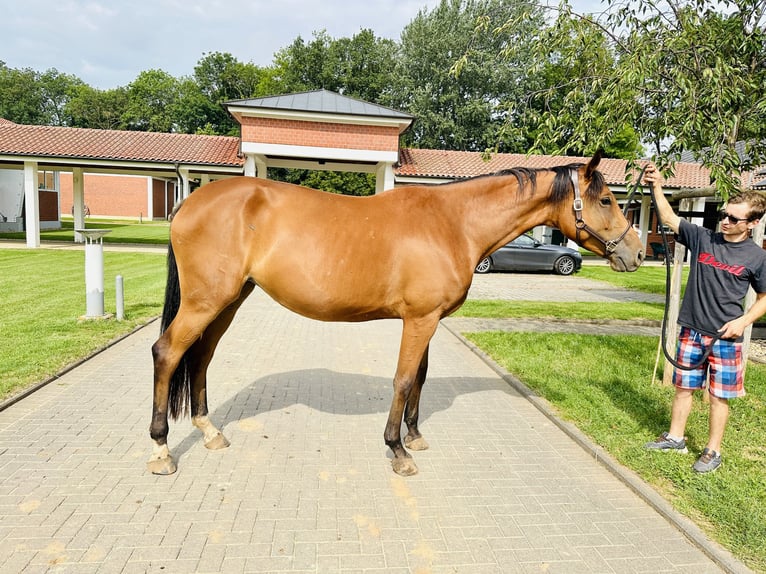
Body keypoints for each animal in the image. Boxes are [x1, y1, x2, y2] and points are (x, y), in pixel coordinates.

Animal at [147, 152, 644, 476]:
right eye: (606, 201)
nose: (637, 253)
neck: (452, 223)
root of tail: (191, 201)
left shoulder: (430, 320)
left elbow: (420, 377)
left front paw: (415, 435)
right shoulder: (419, 319)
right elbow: (404, 380)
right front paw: (398, 451)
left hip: (229, 300)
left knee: (201, 355)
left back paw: (209, 431)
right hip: (206, 301)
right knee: (168, 352)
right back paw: (161, 450)